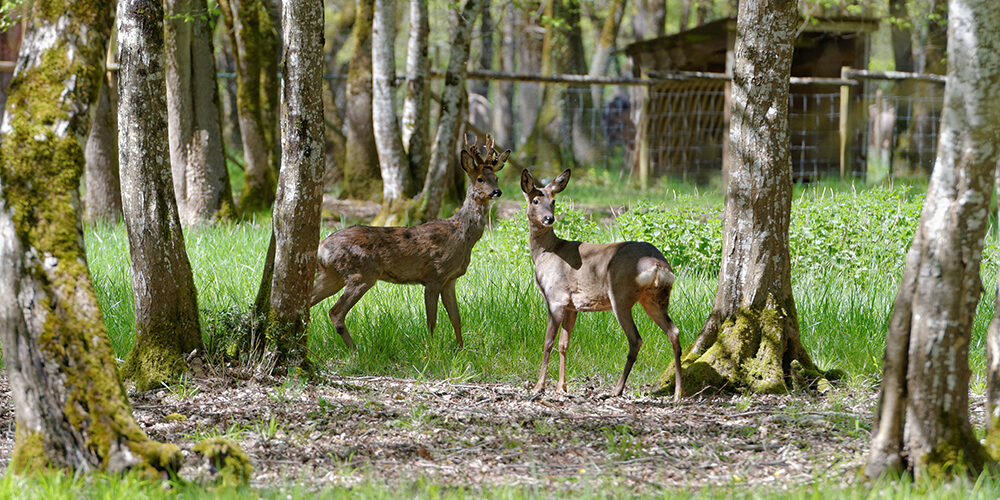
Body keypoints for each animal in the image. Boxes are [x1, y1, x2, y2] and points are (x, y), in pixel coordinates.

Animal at [308, 135, 508, 350]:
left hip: (332, 275)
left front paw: (461, 349)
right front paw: (432, 349)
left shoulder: (450, 279)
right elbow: (432, 320)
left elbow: (456, 318)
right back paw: (355, 350)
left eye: (496, 177)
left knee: (307, 302)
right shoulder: (434, 275)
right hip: (360, 273)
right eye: (480, 179)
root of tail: (322, 247)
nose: (497, 192)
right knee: (335, 312)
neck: (461, 235)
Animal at [520, 170, 684, 400]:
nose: (549, 219)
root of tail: (658, 265)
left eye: (553, 201)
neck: (546, 253)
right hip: (655, 298)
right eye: (535, 200)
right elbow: (564, 344)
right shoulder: (572, 306)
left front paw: (539, 387)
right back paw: (678, 392)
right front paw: (562, 387)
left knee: (636, 339)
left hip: (620, 295)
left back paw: (617, 389)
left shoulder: (556, 298)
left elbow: (548, 343)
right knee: (674, 332)